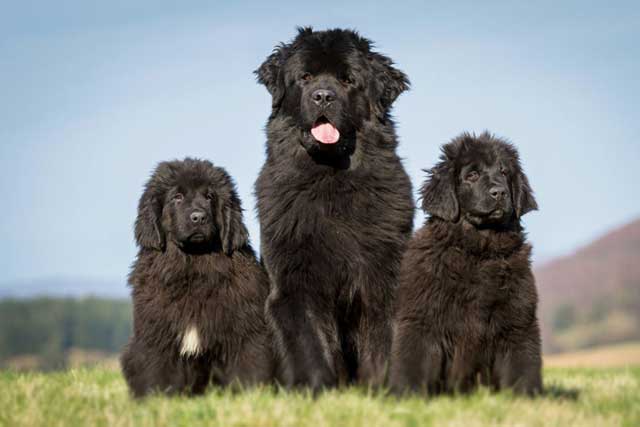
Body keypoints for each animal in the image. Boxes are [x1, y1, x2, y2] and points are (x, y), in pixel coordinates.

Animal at [120, 158, 272, 398]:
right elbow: (156, 375)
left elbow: (248, 371)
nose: (199, 217)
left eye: (209, 196)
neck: (193, 266)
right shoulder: (157, 336)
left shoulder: (245, 332)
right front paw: (156, 400)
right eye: (177, 197)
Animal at [255, 26, 416, 392]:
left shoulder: (385, 277)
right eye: (305, 77)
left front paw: (383, 390)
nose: (323, 97)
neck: (331, 180)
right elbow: (310, 343)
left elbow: (383, 342)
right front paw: (319, 390)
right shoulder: (294, 283)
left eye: (348, 79)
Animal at [388, 134, 544, 398]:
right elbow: (414, 363)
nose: (499, 192)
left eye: (504, 172)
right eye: (472, 175)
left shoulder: (518, 321)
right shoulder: (422, 318)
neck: (478, 252)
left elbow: (521, 369)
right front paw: (409, 397)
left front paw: (525, 400)